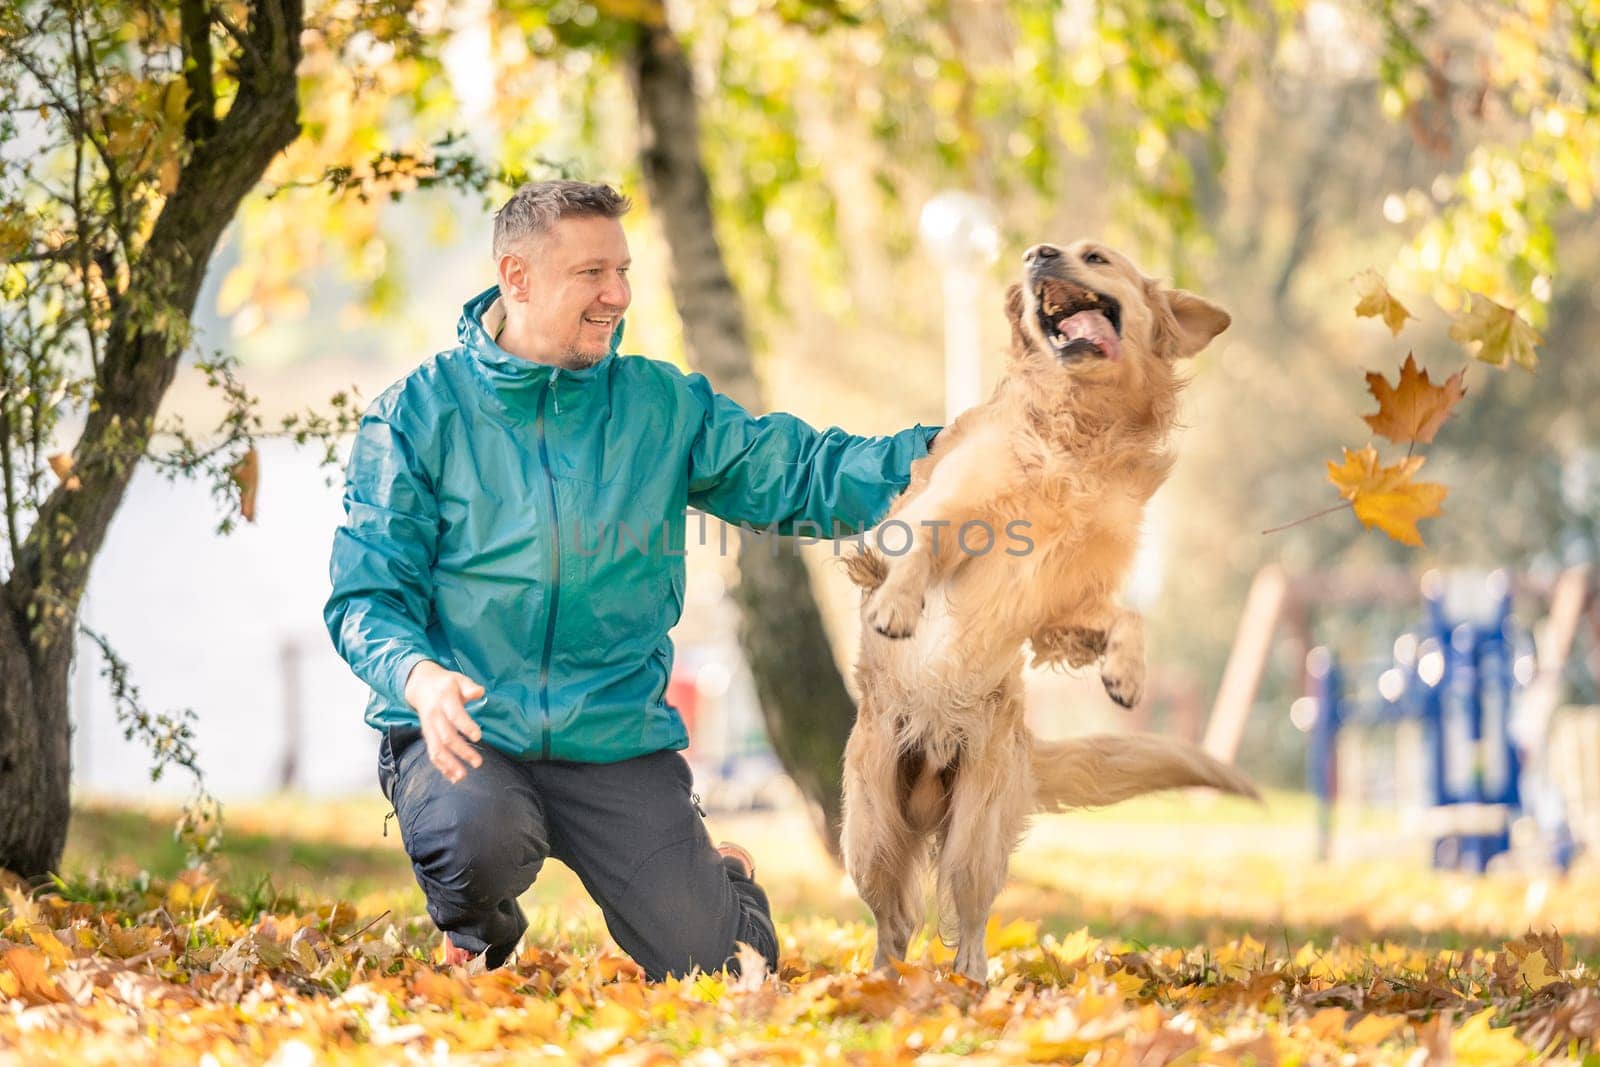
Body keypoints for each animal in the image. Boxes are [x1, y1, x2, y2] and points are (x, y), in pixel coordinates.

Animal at [838, 239, 1260, 985]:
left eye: (1096, 256)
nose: (1037, 255)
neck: (1077, 433)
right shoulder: (940, 508)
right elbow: (921, 544)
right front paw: (895, 605)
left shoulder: (1064, 606)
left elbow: (1128, 617)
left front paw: (1125, 673)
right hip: (870, 830)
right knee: (893, 922)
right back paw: (885, 986)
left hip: (977, 824)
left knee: (968, 913)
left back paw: (972, 985)